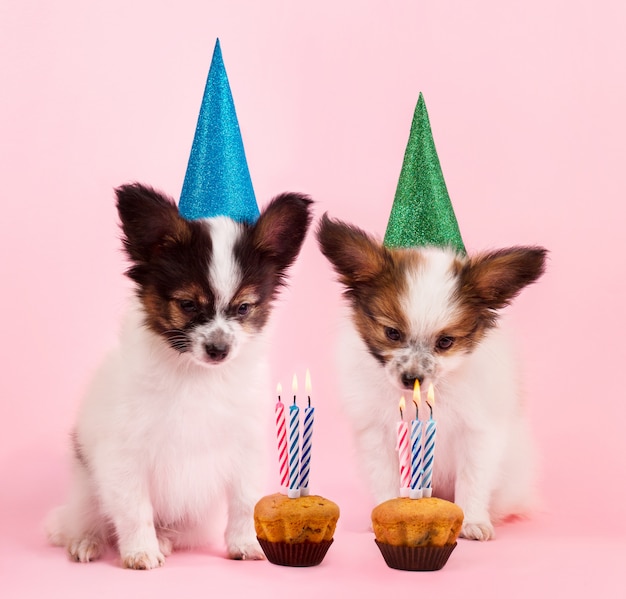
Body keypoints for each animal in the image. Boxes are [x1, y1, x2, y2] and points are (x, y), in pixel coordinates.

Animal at [46, 185, 312, 568]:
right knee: (89, 518)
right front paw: (140, 551)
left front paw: (246, 543)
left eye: (244, 308)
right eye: (187, 305)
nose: (219, 349)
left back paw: (166, 538)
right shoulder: (125, 455)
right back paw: (87, 541)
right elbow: (134, 508)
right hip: (85, 489)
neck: (196, 376)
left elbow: (244, 502)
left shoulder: (245, 448)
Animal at [314, 217, 544, 544]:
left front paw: (473, 521)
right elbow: (384, 477)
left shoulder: (478, 432)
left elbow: (473, 479)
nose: (412, 377)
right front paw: (385, 515)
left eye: (445, 342)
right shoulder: (376, 434)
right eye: (392, 333)